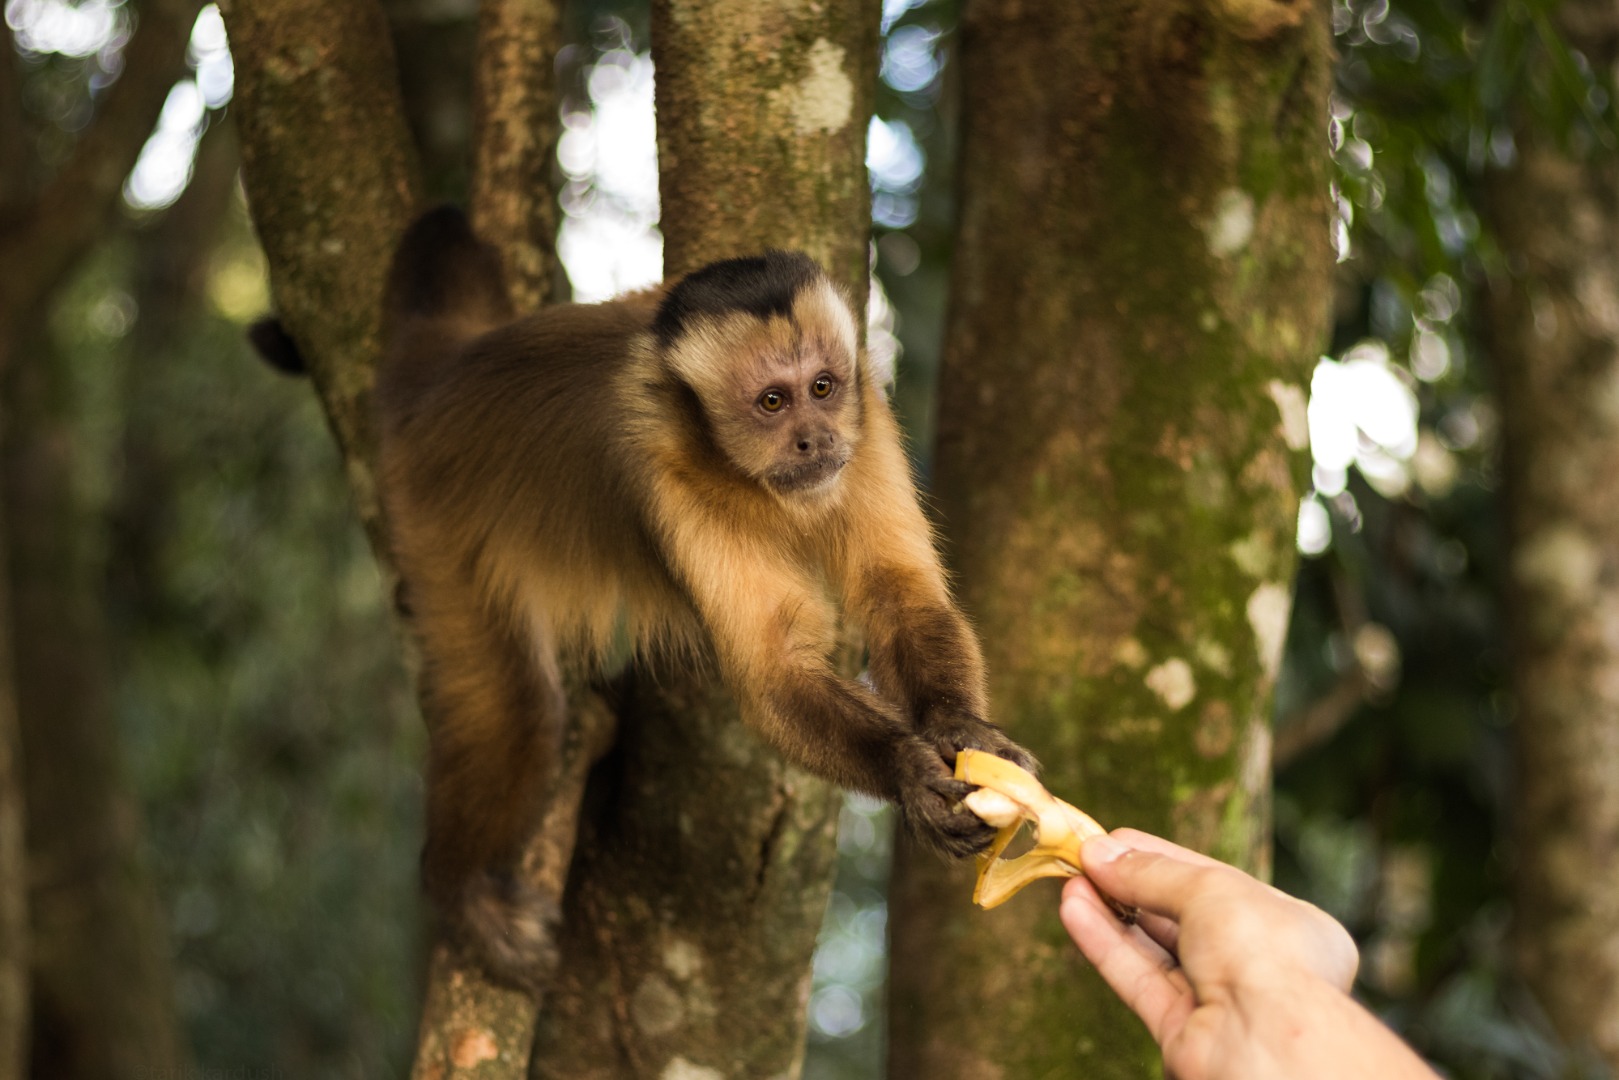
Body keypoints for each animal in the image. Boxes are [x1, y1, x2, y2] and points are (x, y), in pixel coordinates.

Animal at [352, 207, 1029, 990]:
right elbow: (773, 671)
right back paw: (458, 888)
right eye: (772, 402)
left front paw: (960, 729)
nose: (813, 439)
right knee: (519, 706)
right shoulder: (665, 471)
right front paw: (908, 771)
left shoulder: (867, 423)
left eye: (823, 387)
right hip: (432, 515)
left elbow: (898, 595)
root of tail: (446, 380)